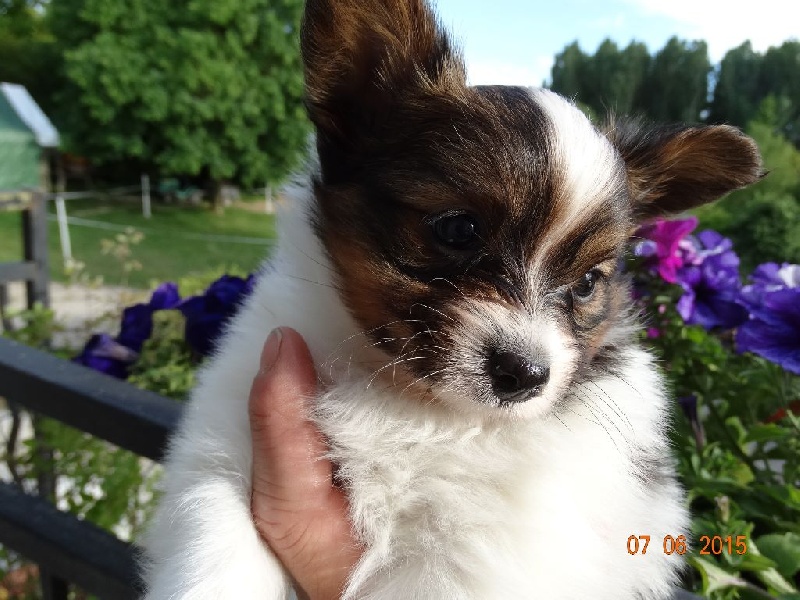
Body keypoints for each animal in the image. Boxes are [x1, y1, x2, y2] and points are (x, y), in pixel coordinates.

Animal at [141, 0, 762, 598]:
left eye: (588, 282)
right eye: (457, 229)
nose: (525, 374)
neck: (410, 399)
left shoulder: (475, 557)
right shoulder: (223, 449)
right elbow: (215, 546)